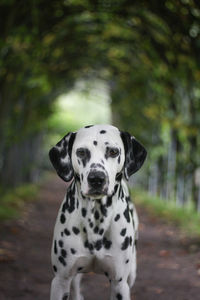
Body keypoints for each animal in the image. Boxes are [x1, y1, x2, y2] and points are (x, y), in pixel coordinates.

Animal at [49, 124, 146, 300]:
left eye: (113, 151)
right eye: (81, 152)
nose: (96, 178)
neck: (96, 218)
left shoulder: (119, 283)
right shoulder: (60, 280)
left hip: (131, 274)